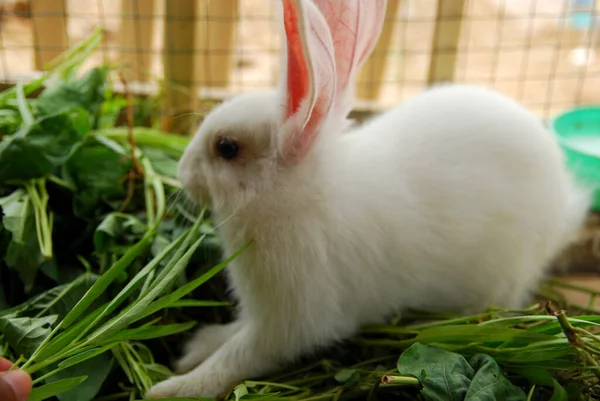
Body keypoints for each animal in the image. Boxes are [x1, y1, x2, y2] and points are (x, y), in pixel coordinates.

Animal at [146, 0, 592, 396]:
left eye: (226, 148)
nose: (183, 173)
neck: (301, 199)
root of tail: (563, 202)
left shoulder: (288, 322)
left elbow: (235, 359)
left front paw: (171, 388)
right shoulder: (264, 311)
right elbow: (231, 337)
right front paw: (195, 347)